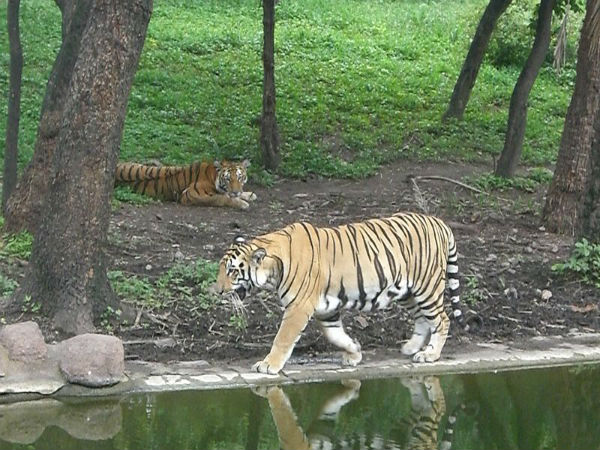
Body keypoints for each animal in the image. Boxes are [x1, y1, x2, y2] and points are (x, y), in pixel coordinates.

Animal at [114, 159, 255, 208]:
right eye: (228, 179)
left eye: (240, 177)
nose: (236, 192)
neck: (213, 176)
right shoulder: (190, 194)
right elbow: (220, 198)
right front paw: (242, 203)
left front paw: (249, 195)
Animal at [214, 211, 468, 372]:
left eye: (232, 271)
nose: (216, 291)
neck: (273, 269)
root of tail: (439, 222)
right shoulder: (327, 310)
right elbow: (335, 335)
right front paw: (354, 352)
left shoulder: (298, 308)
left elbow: (283, 339)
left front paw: (268, 365)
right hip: (407, 292)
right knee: (422, 319)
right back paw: (411, 348)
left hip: (427, 288)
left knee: (442, 320)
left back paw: (430, 354)